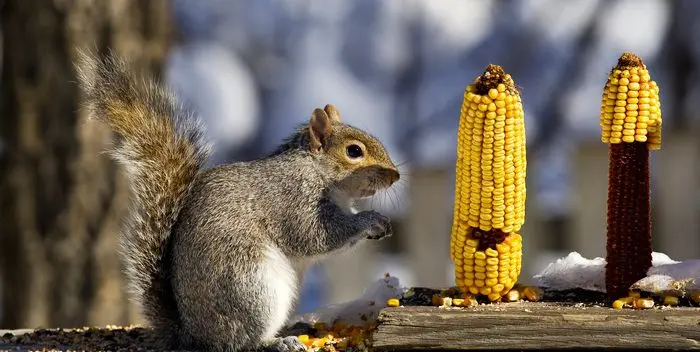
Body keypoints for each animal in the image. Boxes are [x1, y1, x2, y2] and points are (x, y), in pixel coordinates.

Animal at [74, 51, 402, 352]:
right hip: (252, 288)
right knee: (240, 343)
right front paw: (371, 219)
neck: (316, 170)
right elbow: (316, 235)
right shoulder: (292, 198)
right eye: (354, 151)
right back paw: (278, 342)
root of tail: (194, 336)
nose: (395, 176)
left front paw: (380, 224)